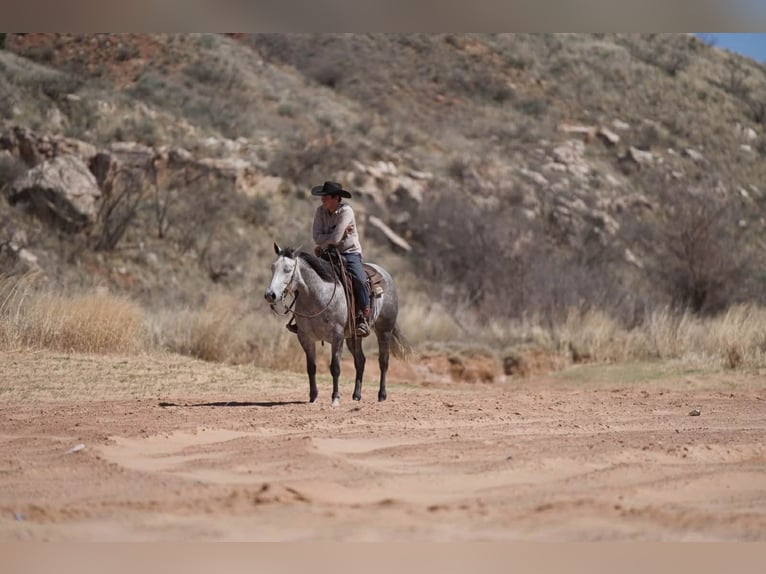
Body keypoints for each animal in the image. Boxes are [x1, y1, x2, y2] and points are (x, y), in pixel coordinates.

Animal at [264, 243, 410, 406]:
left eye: (288, 269)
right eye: (273, 267)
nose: (270, 295)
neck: (318, 296)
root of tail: (385, 275)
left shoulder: (337, 337)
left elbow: (335, 367)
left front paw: (335, 398)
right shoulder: (305, 338)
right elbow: (311, 367)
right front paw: (313, 397)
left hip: (384, 330)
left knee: (383, 361)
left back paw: (382, 395)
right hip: (353, 337)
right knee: (360, 361)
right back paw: (356, 395)